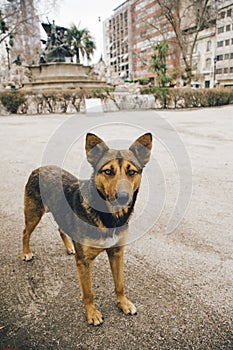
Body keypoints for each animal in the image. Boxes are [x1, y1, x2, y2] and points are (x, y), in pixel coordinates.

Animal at [21, 132, 153, 326]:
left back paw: (69, 248)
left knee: (61, 229)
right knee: (25, 233)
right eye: (108, 171)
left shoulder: (117, 253)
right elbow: (88, 292)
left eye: (131, 172)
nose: (122, 197)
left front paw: (123, 303)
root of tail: (39, 168)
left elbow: (119, 284)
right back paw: (26, 252)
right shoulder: (84, 262)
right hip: (34, 214)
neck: (109, 216)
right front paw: (92, 313)